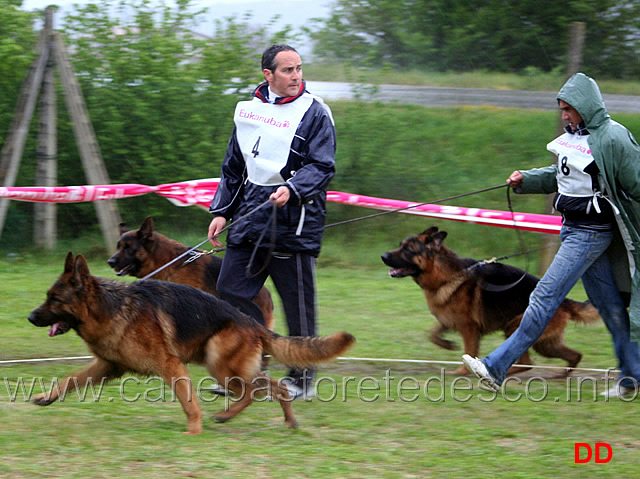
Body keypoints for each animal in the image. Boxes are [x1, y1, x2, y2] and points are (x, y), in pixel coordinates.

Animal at [27, 255, 356, 436]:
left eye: (55, 299)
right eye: (47, 296)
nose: (30, 317)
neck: (110, 307)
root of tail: (251, 322)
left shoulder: (170, 365)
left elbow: (188, 402)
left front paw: (194, 431)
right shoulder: (107, 366)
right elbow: (70, 380)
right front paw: (46, 397)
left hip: (220, 366)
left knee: (255, 391)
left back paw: (225, 415)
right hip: (233, 368)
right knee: (275, 388)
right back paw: (288, 422)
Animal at [380, 227, 600, 376]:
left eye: (407, 250)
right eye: (400, 246)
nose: (382, 256)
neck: (447, 276)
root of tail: (563, 300)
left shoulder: (469, 328)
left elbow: (469, 350)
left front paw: (461, 372)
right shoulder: (448, 321)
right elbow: (432, 334)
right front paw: (448, 344)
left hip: (514, 327)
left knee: (526, 362)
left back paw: (498, 373)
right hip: (544, 345)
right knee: (572, 355)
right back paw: (561, 375)